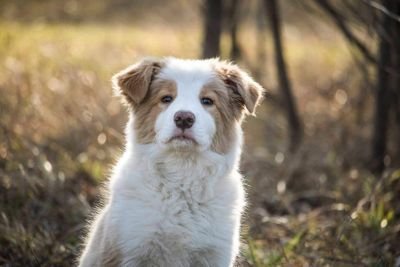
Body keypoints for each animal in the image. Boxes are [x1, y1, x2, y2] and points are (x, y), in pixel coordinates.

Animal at [78, 57, 266, 266]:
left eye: (207, 101)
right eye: (166, 99)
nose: (184, 118)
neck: (182, 173)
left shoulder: (214, 255)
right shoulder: (130, 249)